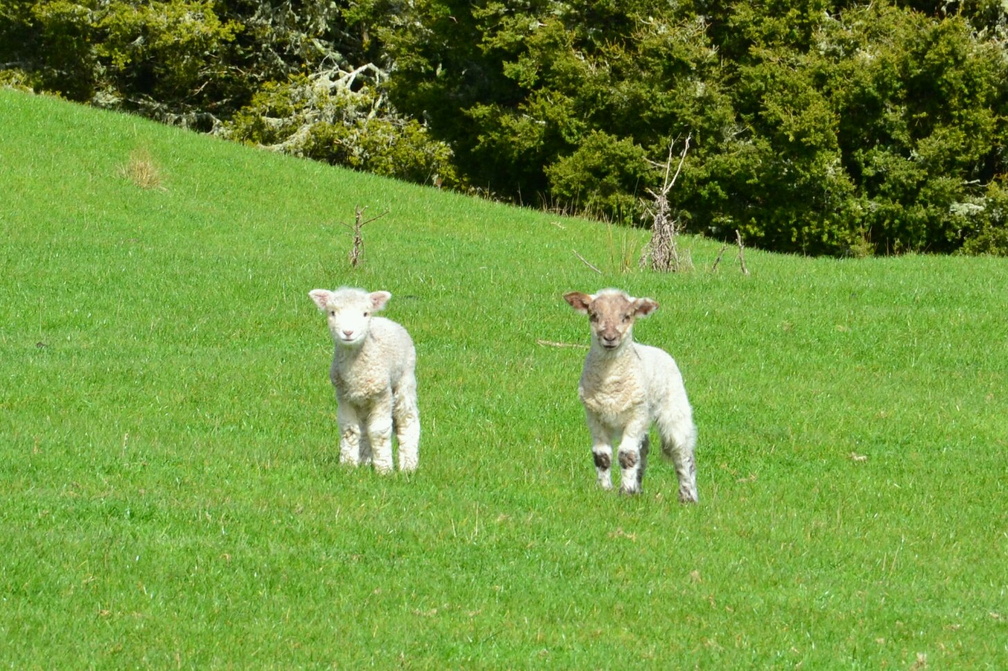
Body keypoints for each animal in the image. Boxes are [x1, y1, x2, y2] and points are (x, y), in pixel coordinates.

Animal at [306, 286, 417, 469]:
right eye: (332, 312)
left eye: (365, 313)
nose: (348, 332)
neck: (356, 372)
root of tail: (386, 320)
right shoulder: (344, 397)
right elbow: (349, 430)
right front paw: (348, 466)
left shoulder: (382, 396)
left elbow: (379, 432)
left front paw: (384, 468)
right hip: (363, 400)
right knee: (365, 428)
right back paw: (365, 461)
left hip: (405, 379)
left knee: (407, 419)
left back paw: (409, 465)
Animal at [564, 284, 697, 499]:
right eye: (594, 315)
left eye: (626, 316)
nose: (610, 338)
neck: (609, 385)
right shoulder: (594, 416)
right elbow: (602, 456)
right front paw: (606, 489)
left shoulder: (637, 413)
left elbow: (627, 455)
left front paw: (625, 492)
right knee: (643, 449)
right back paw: (638, 489)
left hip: (674, 407)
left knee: (682, 452)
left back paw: (688, 496)